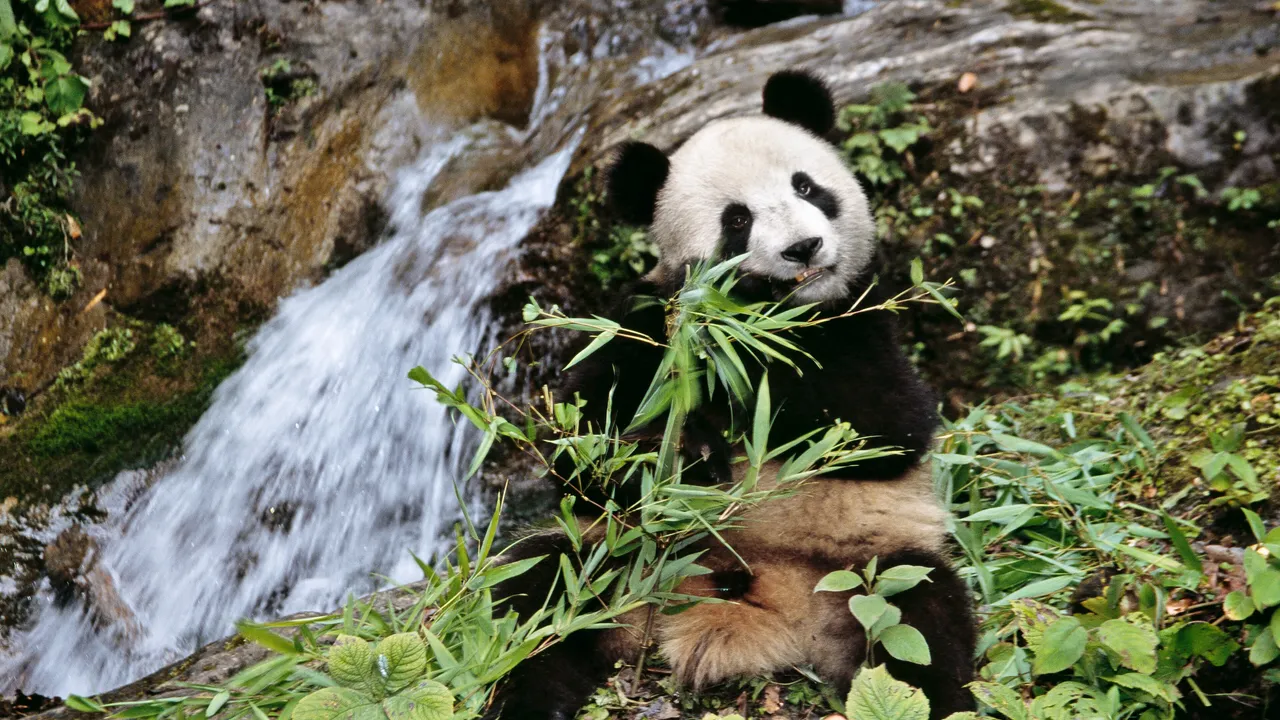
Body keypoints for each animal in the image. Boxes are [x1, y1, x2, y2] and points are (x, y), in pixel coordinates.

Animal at [487, 69, 976, 720]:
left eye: (806, 186)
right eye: (737, 220)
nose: (803, 249)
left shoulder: (863, 320)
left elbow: (885, 425)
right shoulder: (642, 327)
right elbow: (580, 451)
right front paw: (682, 447)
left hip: (863, 564)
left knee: (917, 622)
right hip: (611, 560)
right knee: (533, 596)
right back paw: (525, 698)